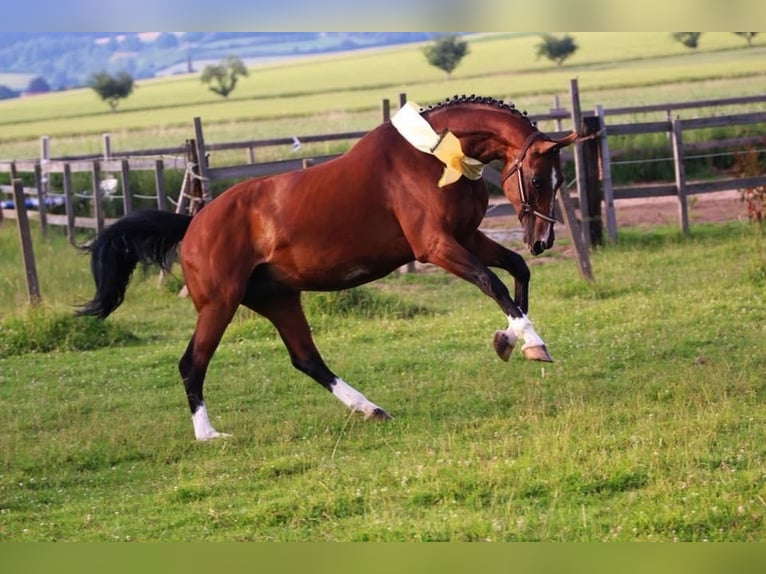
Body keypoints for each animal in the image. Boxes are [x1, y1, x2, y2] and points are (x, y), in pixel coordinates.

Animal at [81, 97, 580, 444]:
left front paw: (511, 340)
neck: (436, 155)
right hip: (220, 304)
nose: (542, 240)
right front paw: (531, 342)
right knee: (193, 363)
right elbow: (493, 282)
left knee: (306, 358)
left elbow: (517, 272)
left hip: (278, 298)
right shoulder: (436, 246)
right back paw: (209, 436)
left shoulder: (467, 237)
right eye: (539, 179)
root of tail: (194, 221)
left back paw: (370, 409)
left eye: (558, 181)